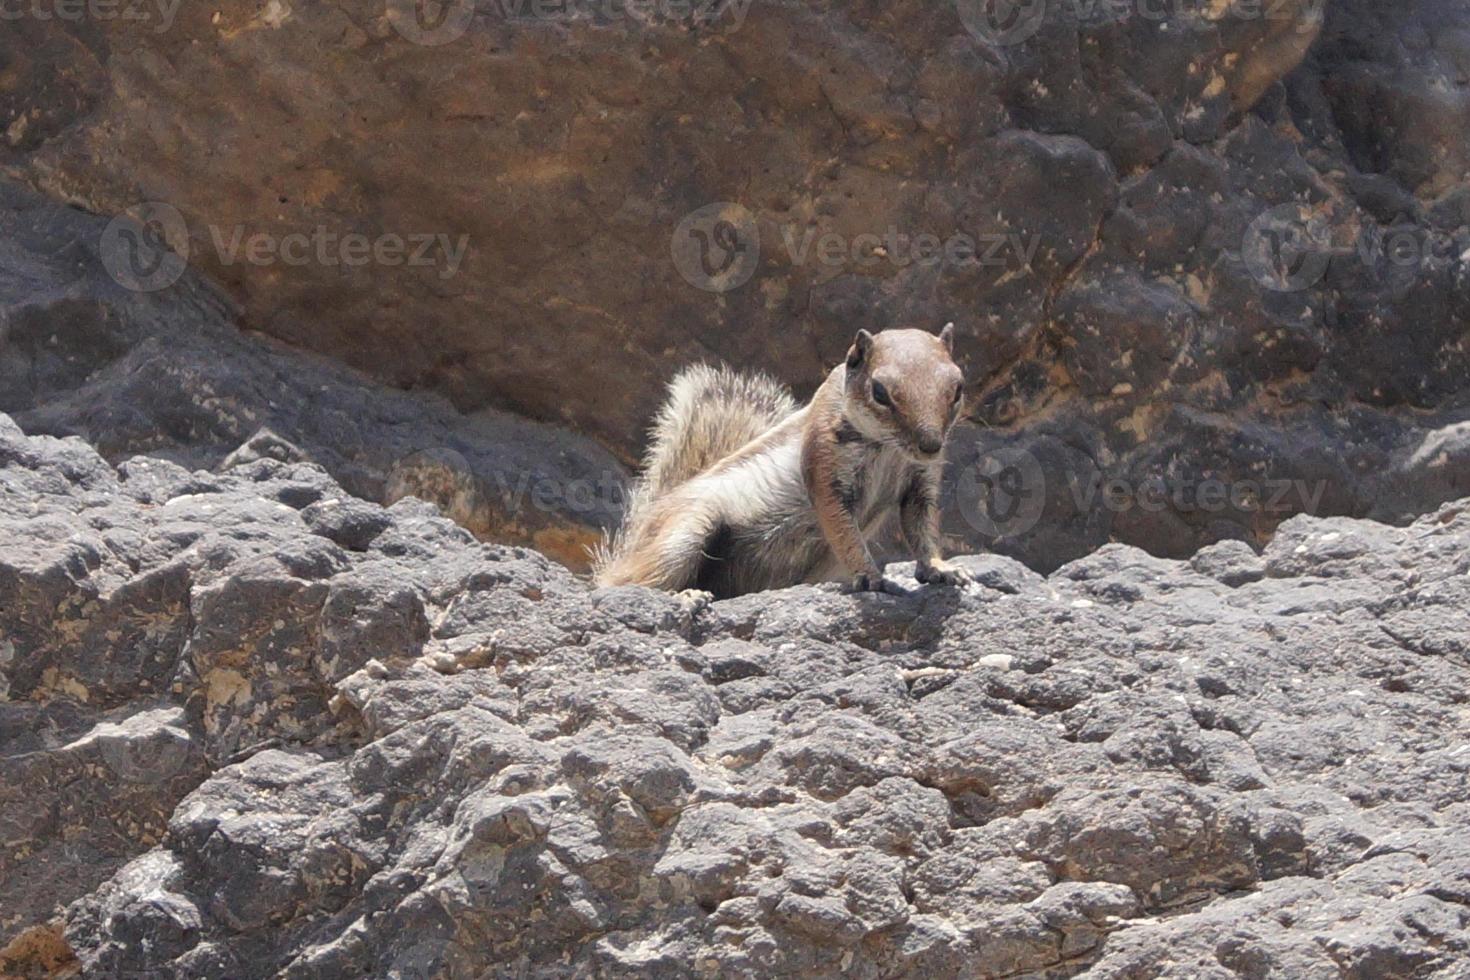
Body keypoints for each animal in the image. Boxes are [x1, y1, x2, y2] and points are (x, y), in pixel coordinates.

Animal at [590, 323, 970, 599]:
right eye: (879, 391)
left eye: (958, 388)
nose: (931, 445)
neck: (888, 449)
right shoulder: (824, 467)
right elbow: (844, 532)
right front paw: (870, 576)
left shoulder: (921, 482)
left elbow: (922, 528)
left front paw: (942, 569)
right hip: (684, 531)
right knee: (628, 585)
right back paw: (685, 597)